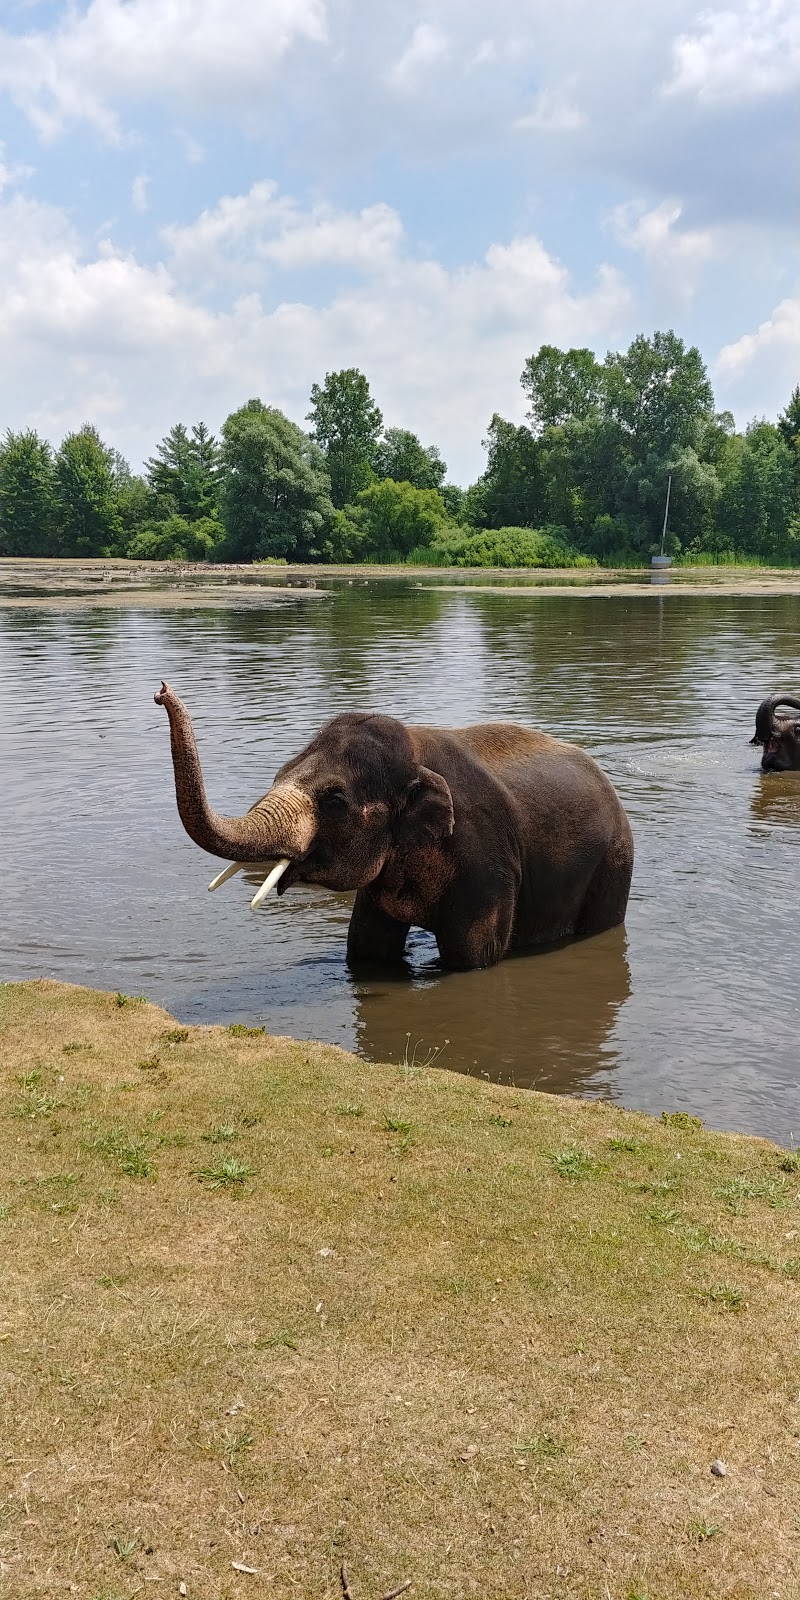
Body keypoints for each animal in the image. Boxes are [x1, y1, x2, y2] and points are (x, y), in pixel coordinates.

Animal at [154, 681, 630, 966]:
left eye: (335, 801)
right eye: (278, 774)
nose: (160, 691)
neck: (416, 753)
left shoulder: (487, 864)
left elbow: (474, 957)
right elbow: (367, 949)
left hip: (614, 861)